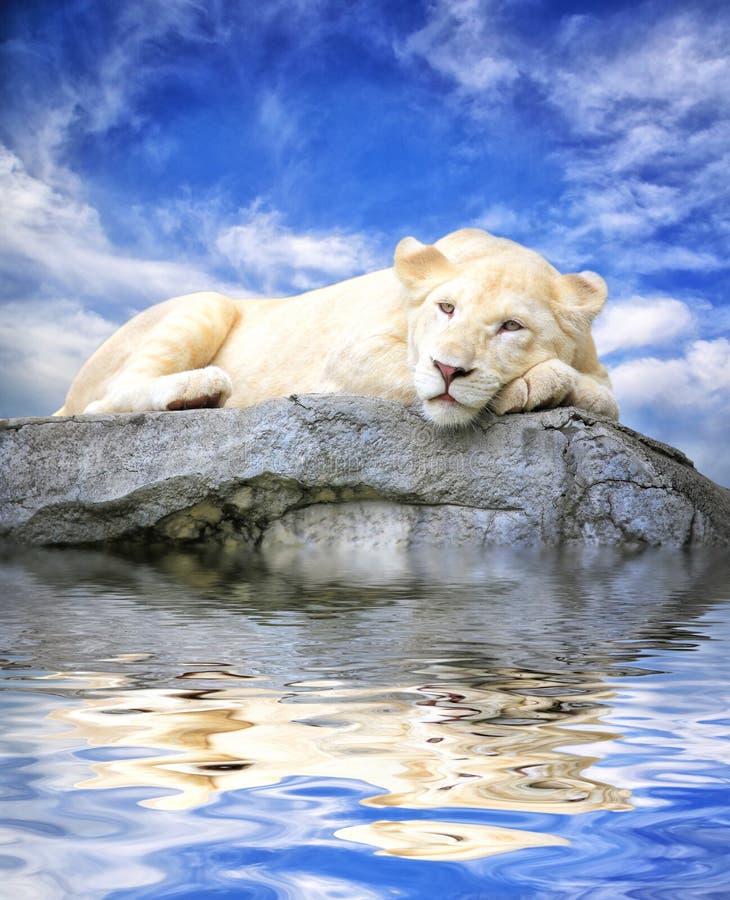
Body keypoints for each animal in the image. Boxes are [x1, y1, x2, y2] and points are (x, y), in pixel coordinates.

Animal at [54, 225, 616, 422]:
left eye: (511, 327)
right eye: (446, 308)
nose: (448, 371)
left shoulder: (599, 372)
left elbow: (604, 399)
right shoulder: (350, 355)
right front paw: (521, 389)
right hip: (207, 302)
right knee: (106, 401)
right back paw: (203, 390)